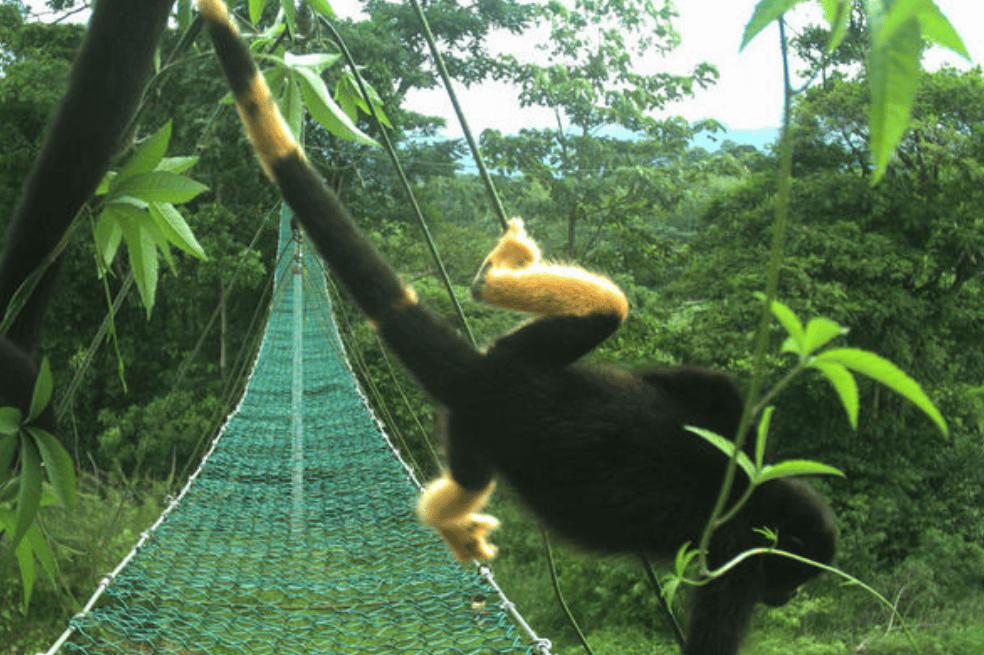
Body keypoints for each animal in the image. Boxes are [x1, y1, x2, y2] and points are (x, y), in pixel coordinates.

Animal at [197, 2, 836, 653]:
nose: (786, 598)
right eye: (790, 581)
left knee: (610, 308)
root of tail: (484, 377)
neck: (757, 501)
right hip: (475, 431)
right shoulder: (737, 561)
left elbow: (710, 386)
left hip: (518, 355)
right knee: (470, 480)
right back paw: (449, 522)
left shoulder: (731, 440)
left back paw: (492, 278)